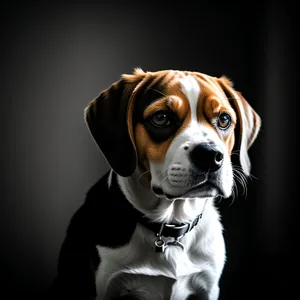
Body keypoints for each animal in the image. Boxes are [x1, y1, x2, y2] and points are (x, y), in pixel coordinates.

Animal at [51, 68, 260, 300]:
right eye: (161, 118)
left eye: (224, 119)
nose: (209, 155)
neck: (171, 225)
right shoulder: (106, 288)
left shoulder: (208, 287)